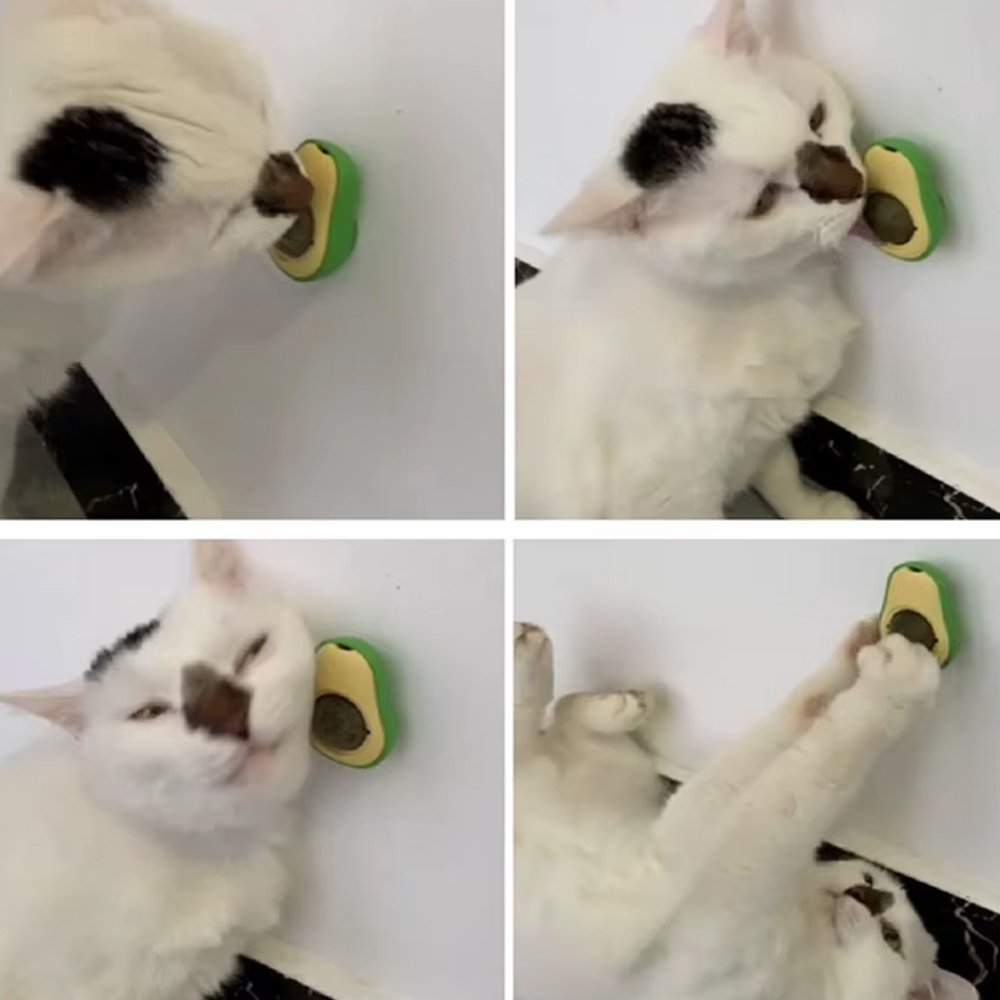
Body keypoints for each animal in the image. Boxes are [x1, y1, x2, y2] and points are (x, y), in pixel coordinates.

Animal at [514, 621, 978, 1000]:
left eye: (891, 938)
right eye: (869, 879)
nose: (868, 895)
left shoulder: (737, 872)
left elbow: (820, 765)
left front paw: (900, 685)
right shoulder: (719, 840)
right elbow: (796, 727)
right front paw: (858, 650)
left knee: (537, 731)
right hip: (628, 781)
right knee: (553, 717)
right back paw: (580, 679)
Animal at [517, 0, 868, 519]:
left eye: (817, 116)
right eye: (762, 202)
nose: (854, 185)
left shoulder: (767, 420)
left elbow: (780, 468)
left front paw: (812, 511)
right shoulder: (670, 497)